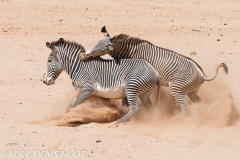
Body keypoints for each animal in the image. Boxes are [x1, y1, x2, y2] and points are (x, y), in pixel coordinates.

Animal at [79, 26, 228, 117]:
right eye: (96, 42)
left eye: (102, 50)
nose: (82, 55)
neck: (131, 52)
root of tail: (202, 74)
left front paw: (125, 104)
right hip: (191, 92)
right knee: (199, 104)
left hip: (177, 89)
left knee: (186, 106)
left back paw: (177, 119)